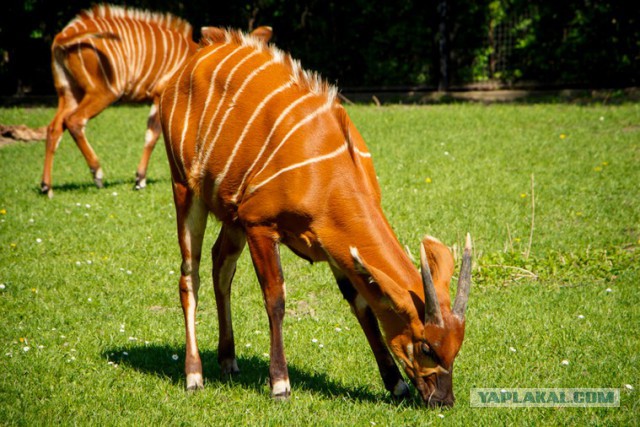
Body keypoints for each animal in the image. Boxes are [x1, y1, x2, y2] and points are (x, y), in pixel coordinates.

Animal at [42, 2, 272, 197]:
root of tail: (63, 36)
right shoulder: (161, 97)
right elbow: (152, 135)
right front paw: (140, 180)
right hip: (104, 92)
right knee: (74, 121)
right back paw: (97, 173)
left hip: (69, 92)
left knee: (54, 127)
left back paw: (47, 187)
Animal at [159, 27, 470, 408]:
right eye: (426, 347)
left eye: (457, 346)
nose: (443, 400)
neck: (329, 176)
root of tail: (194, 57)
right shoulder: (260, 224)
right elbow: (275, 298)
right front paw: (280, 384)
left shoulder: (333, 243)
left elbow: (361, 304)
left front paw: (395, 383)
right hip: (185, 189)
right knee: (190, 274)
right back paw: (194, 374)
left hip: (231, 215)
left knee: (221, 264)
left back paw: (228, 360)